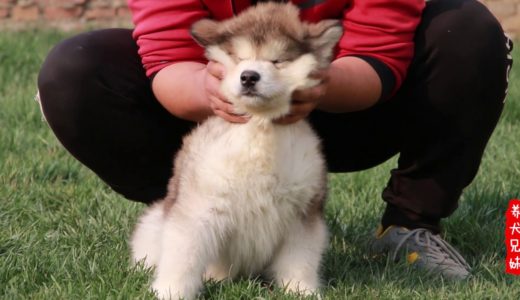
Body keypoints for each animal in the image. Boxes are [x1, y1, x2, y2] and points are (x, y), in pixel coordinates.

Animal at [130, 2, 342, 300]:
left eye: (277, 61)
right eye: (240, 58)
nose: (249, 76)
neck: (258, 126)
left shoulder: (303, 213)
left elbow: (300, 260)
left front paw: (301, 291)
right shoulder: (198, 207)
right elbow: (183, 255)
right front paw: (171, 290)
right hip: (153, 223)